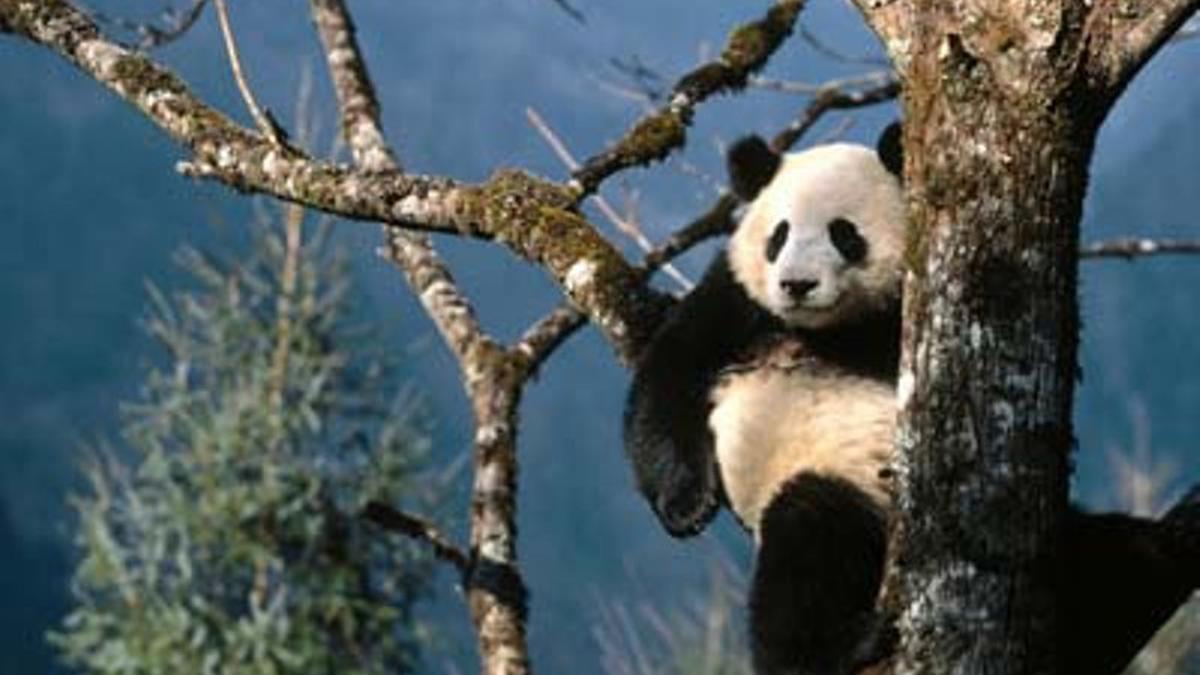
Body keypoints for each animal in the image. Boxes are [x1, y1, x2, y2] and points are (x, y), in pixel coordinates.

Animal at [623, 126, 1200, 675]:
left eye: (844, 234)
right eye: (778, 236)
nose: (797, 285)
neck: (830, 329)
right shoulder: (736, 299)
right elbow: (668, 375)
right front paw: (686, 507)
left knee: (1106, 550)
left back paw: (1151, 561)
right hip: (831, 484)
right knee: (807, 543)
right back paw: (833, 649)